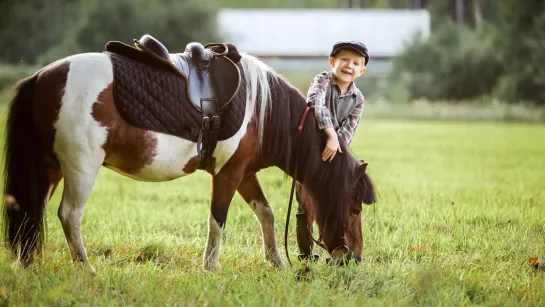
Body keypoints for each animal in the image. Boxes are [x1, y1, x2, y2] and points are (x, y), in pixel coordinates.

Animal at [1, 46, 374, 274]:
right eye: (355, 209)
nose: (355, 259)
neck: (262, 110)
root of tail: (42, 76)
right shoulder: (227, 174)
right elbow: (217, 220)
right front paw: (210, 267)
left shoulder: (244, 172)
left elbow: (265, 213)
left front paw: (276, 263)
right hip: (81, 167)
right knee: (69, 215)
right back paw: (86, 269)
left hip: (49, 168)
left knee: (31, 212)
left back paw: (27, 266)